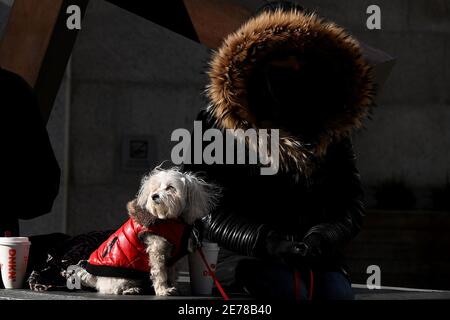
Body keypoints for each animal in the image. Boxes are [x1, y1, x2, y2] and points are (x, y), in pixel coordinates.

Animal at [73, 168, 219, 296]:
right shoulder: (157, 249)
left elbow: (171, 272)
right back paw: (130, 290)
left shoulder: (171, 255)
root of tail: (94, 277)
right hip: (122, 277)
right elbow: (160, 272)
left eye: (171, 187)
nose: (154, 196)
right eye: (155, 188)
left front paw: (173, 287)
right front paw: (163, 290)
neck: (169, 219)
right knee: (111, 289)